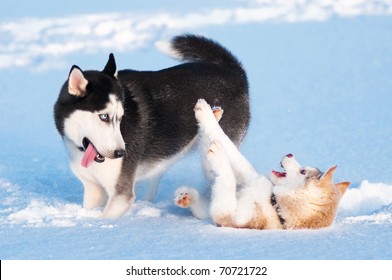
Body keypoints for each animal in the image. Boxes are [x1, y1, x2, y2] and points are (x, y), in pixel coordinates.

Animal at [175, 99, 350, 229]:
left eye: (302, 171)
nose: (289, 153)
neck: (275, 206)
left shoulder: (226, 214)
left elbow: (228, 158)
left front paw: (216, 147)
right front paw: (186, 197)